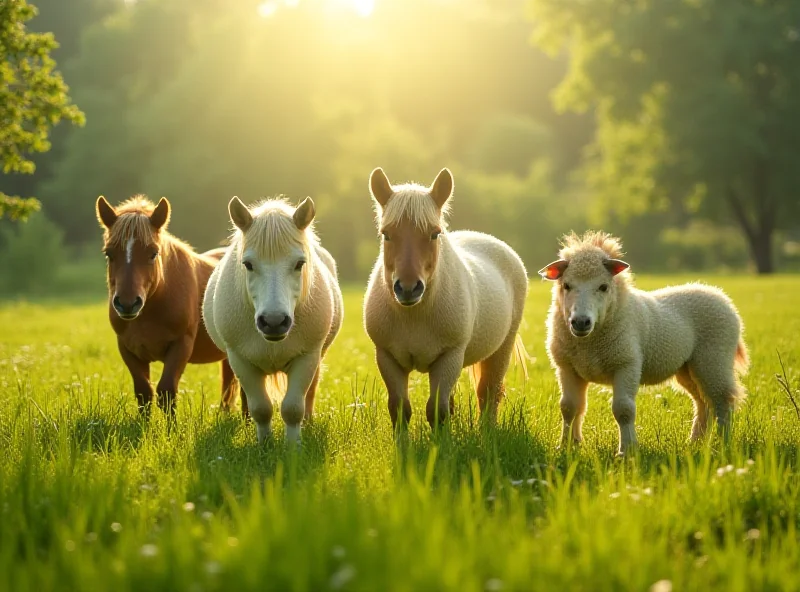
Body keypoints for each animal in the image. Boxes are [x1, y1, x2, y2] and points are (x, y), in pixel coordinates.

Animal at [94, 197, 244, 418]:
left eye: (153, 253)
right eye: (109, 253)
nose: (127, 303)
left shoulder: (181, 345)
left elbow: (166, 391)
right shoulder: (128, 349)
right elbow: (143, 392)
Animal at [202, 198, 342, 444]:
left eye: (300, 263)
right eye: (248, 264)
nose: (274, 321)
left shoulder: (307, 357)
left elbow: (293, 408)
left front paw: (294, 446)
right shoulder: (240, 360)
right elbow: (261, 408)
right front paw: (264, 444)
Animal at [364, 169, 528, 428]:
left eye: (434, 233)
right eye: (386, 234)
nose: (408, 289)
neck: (415, 314)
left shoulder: (449, 357)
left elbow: (437, 411)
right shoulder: (388, 358)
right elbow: (400, 409)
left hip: (502, 347)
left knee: (489, 392)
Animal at [536, 229, 752, 456]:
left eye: (603, 287)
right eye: (566, 285)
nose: (580, 322)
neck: (589, 344)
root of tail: (718, 294)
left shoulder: (627, 364)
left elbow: (623, 410)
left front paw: (626, 451)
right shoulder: (567, 367)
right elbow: (570, 407)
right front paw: (567, 446)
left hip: (714, 358)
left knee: (723, 401)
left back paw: (723, 444)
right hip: (689, 368)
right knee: (703, 403)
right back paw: (695, 442)